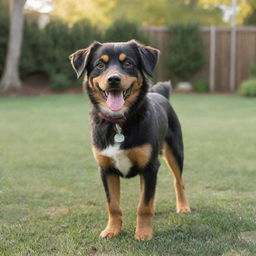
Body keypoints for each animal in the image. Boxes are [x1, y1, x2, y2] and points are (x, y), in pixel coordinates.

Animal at [69, 40, 190, 240]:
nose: (113, 79)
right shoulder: (106, 169)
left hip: (175, 152)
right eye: (100, 65)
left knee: (178, 181)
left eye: (128, 63)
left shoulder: (150, 167)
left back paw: (183, 206)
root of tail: (160, 94)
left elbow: (144, 205)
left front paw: (143, 233)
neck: (118, 123)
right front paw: (112, 230)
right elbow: (113, 205)